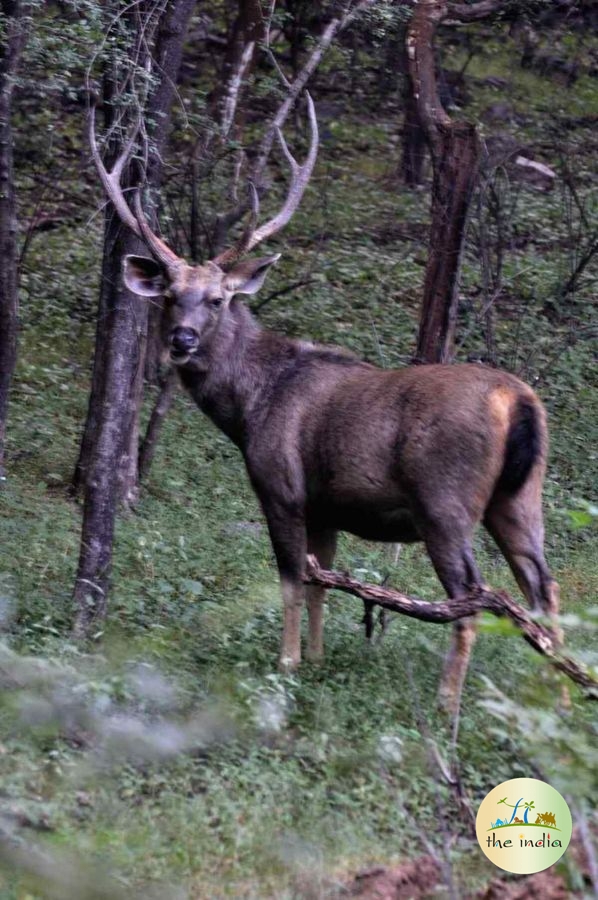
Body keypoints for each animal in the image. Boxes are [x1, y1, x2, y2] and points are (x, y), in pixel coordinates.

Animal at [91, 93, 560, 712]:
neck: (250, 407)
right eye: (169, 296)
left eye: (217, 299)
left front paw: (287, 664)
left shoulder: (282, 487)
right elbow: (322, 583)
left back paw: (446, 706)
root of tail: (519, 400)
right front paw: (315, 659)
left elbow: (291, 580)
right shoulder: (327, 506)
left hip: (446, 501)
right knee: (545, 591)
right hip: (521, 496)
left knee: (474, 600)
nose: (182, 340)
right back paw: (555, 699)